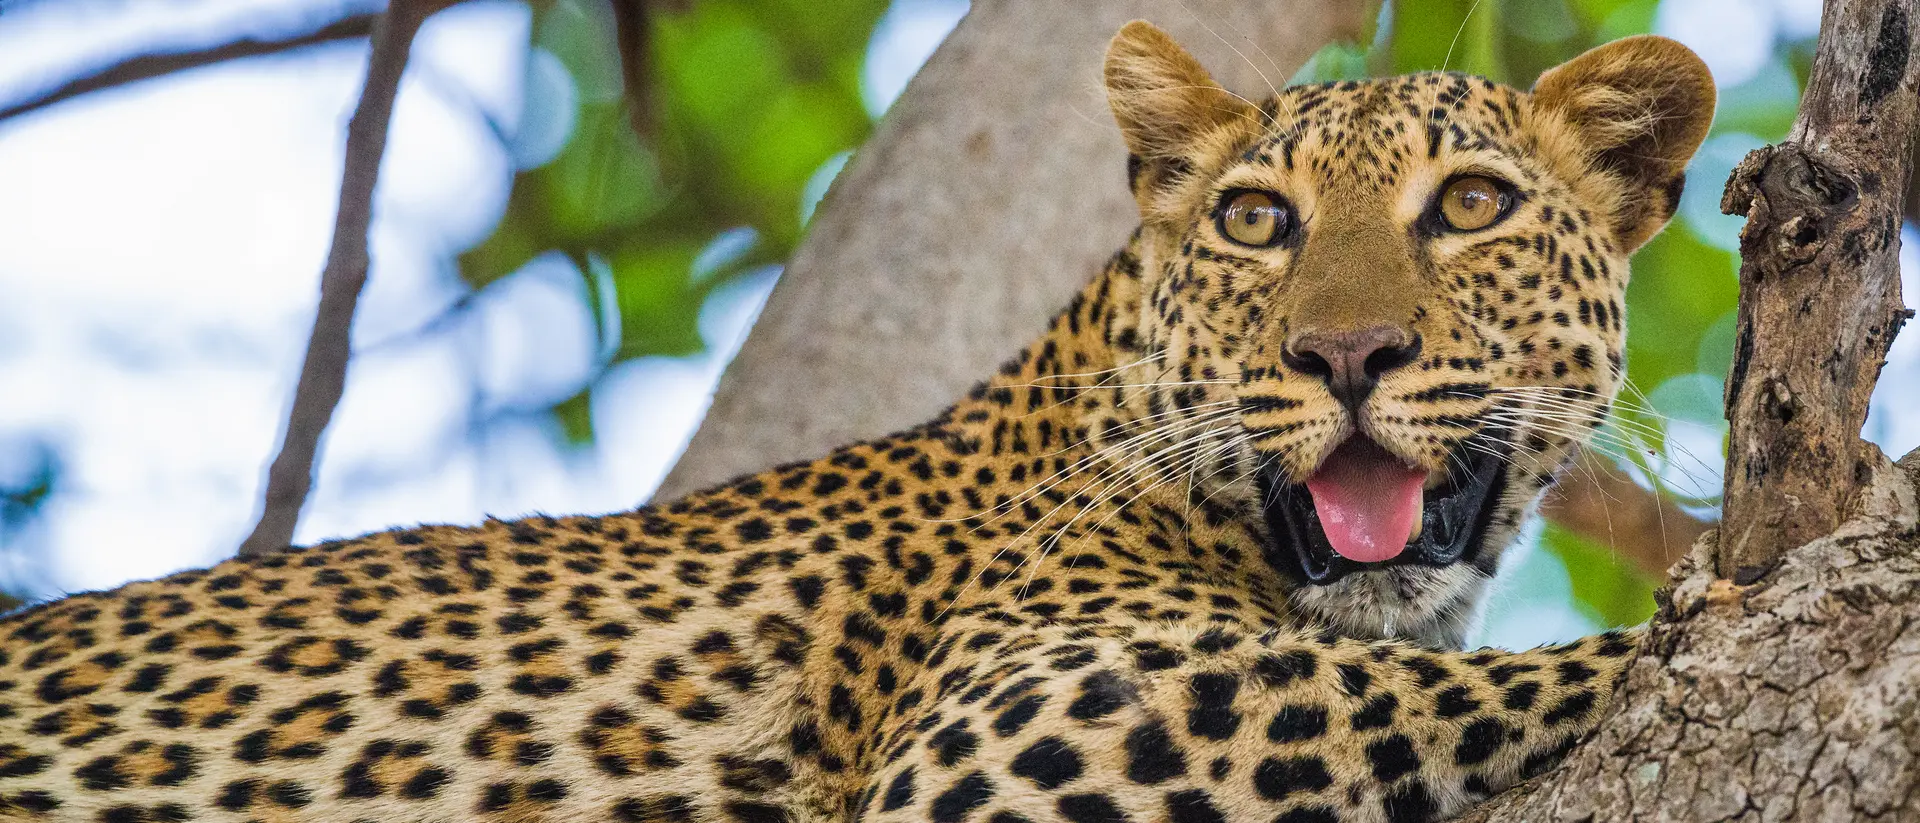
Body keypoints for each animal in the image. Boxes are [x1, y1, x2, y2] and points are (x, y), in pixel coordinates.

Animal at [0, 21, 1716, 823]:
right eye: (1255, 221)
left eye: (1471, 206)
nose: (1346, 350)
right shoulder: (1020, 724)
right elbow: (1447, 684)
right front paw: (1721, 601)